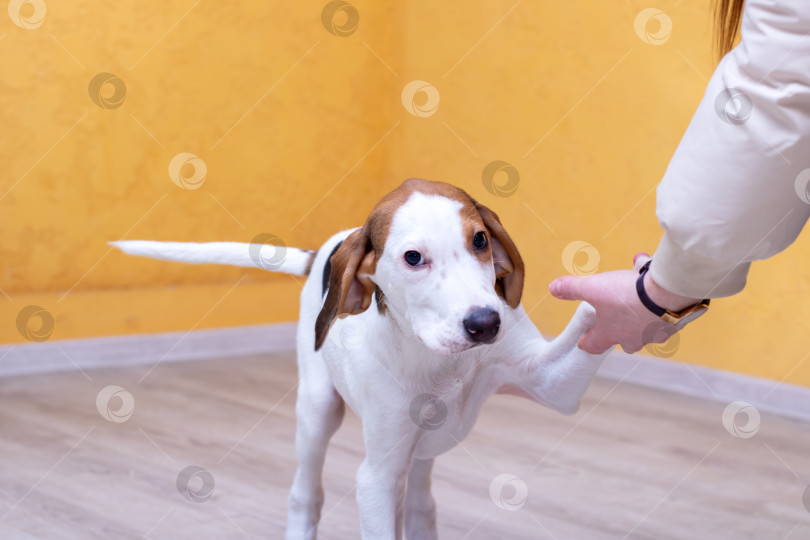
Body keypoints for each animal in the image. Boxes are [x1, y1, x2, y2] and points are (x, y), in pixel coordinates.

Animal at [112, 180, 608, 540]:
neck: (439, 360)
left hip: (418, 456)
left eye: (481, 239)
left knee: (420, 505)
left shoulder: (552, 383)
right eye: (413, 257)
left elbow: (585, 331)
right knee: (305, 494)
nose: (485, 323)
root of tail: (326, 253)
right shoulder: (375, 479)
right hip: (318, 411)